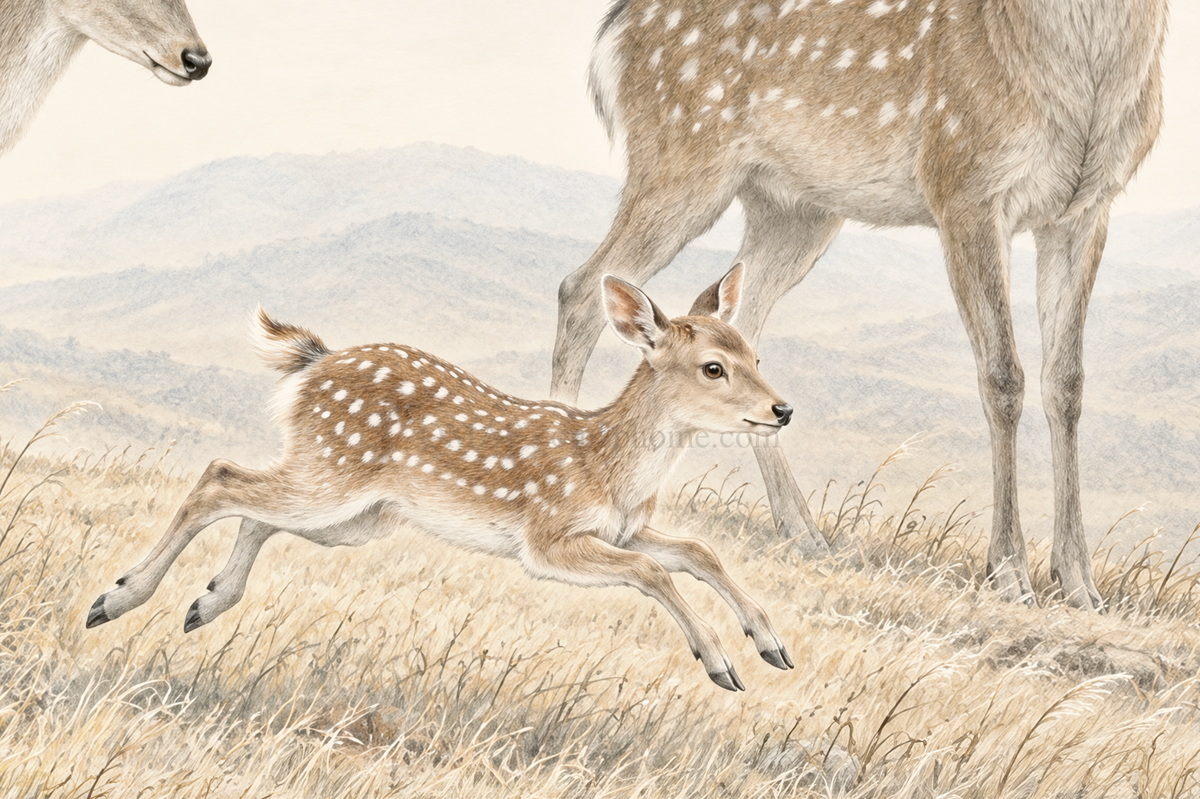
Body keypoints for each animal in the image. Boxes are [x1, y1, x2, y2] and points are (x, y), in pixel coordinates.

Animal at [86, 266, 797, 691]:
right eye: (713, 367)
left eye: (758, 355)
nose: (782, 410)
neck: (607, 465)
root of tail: (313, 364)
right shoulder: (547, 538)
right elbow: (653, 571)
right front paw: (720, 662)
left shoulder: (626, 529)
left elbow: (698, 551)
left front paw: (771, 644)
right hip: (334, 473)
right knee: (221, 477)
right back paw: (114, 599)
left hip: (354, 514)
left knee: (255, 510)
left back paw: (204, 603)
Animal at [550, 0, 1168, 611]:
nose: (1025, 572)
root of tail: (615, 29)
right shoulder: (964, 183)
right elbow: (1002, 377)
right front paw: (1010, 573)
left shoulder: (1085, 209)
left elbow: (1066, 382)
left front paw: (1080, 583)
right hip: (681, 157)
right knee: (581, 288)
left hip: (793, 205)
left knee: (738, 319)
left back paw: (804, 530)